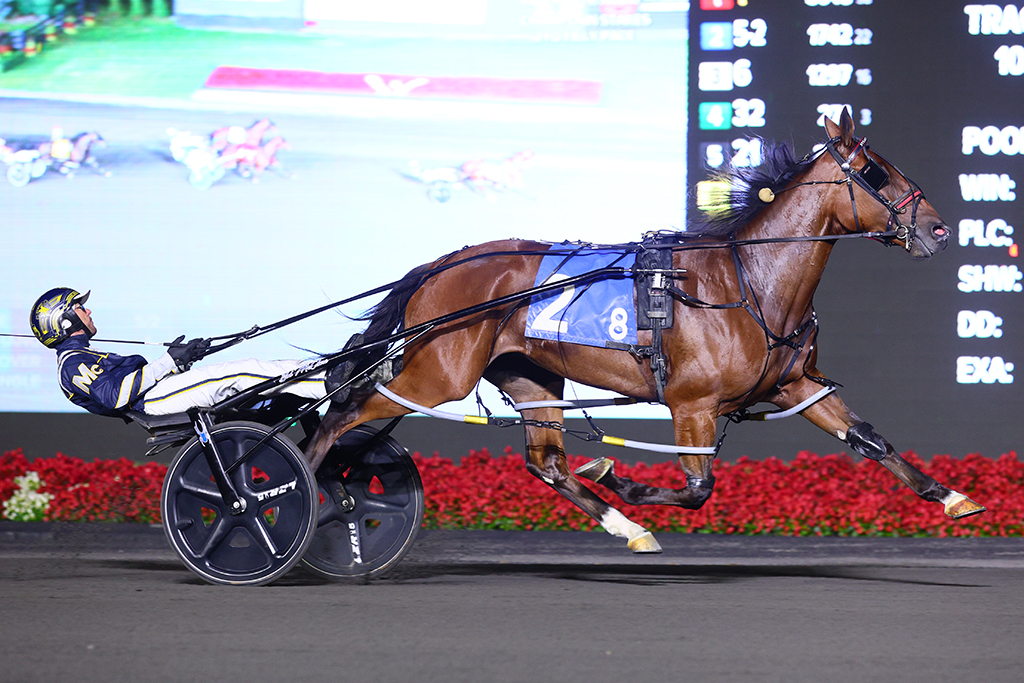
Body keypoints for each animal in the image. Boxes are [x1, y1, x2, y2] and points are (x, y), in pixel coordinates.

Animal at [301, 109, 983, 552]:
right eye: (875, 172)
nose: (939, 228)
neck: (748, 283)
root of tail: (443, 264)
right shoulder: (692, 403)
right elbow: (699, 486)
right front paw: (620, 477)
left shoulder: (796, 384)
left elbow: (867, 437)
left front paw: (951, 495)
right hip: (436, 373)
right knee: (340, 418)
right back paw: (298, 493)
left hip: (530, 376)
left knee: (546, 462)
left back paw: (627, 528)